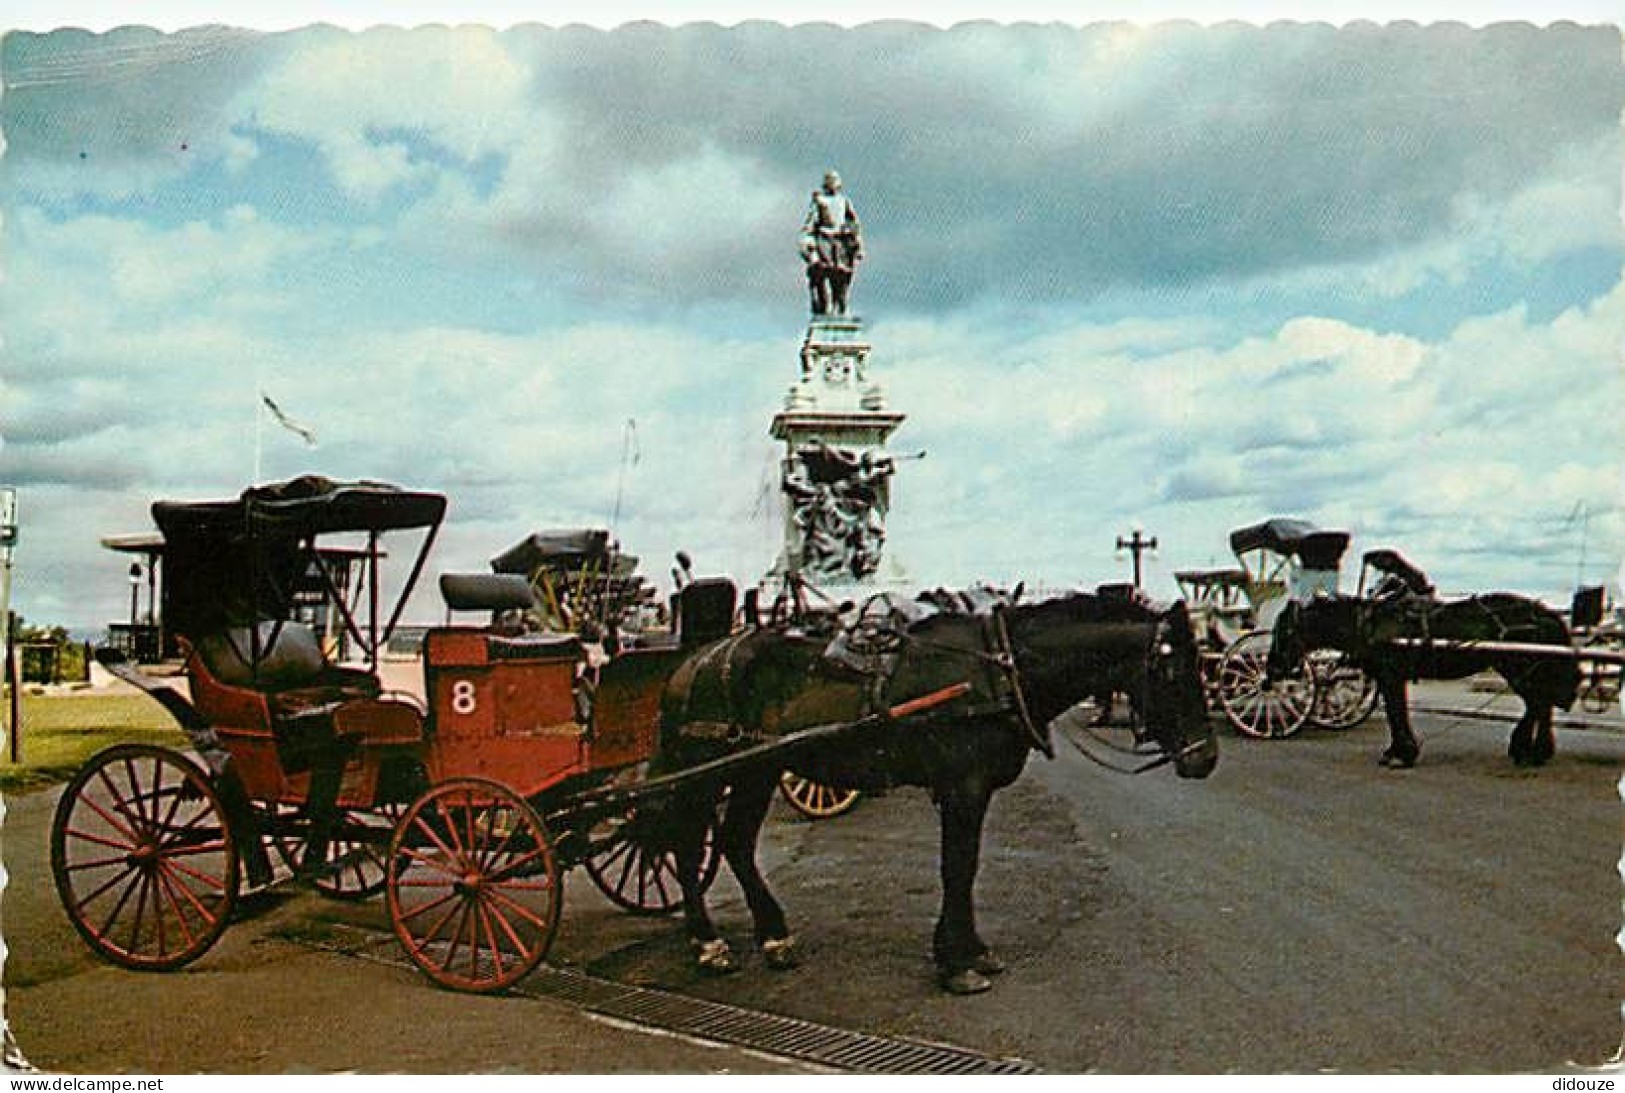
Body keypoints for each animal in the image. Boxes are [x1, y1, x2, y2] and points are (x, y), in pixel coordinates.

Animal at [646, 591, 1222, 993]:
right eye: (1173, 672)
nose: (1206, 758)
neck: (1000, 672)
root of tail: (692, 662)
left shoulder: (968, 791)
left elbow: (964, 868)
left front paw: (968, 949)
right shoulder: (963, 788)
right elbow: (958, 868)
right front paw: (956, 962)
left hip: (757, 769)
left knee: (736, 842)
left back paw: (773, 935)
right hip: (707, 769)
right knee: (685, 844)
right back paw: (708, 942)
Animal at [1267, 587, 1573, 766]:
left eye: (1284, 631)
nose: (1271, 671)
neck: (1372, 624)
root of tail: (1543, 612)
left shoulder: (1391, 675)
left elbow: (1395, 713)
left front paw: (1401, 754)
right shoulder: (1393, 676)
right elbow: (1397, 713)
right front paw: (1401, 751)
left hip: (1518, 668)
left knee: (1538, 703)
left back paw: (1529, 751)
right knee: (1540, 704)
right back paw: (1533, 750)